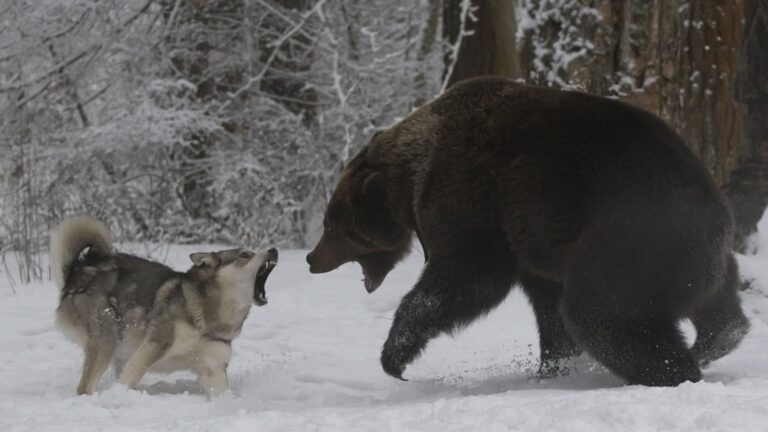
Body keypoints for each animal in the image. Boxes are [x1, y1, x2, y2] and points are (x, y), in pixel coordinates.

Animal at [51, 216, 277, 396]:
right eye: (245, 255)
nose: (273, 250)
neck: (208, 315)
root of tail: (76, 274)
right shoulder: (153, 346)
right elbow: (128, 378)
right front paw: (118, 395)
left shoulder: (214, 368)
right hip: (108, 334)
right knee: (85, 387)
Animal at [306, 77, 750, 386]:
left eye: (331, 224)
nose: (312, 258)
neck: (410, 176)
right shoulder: (536, 243)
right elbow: (547, 308)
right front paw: (554, 366)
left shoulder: (470, 193)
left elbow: (469, 275)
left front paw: (394, 356)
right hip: (700, 253)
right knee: (718, 304)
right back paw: (718, 338)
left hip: (629, 235)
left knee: (602, 313)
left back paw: (673, 371)